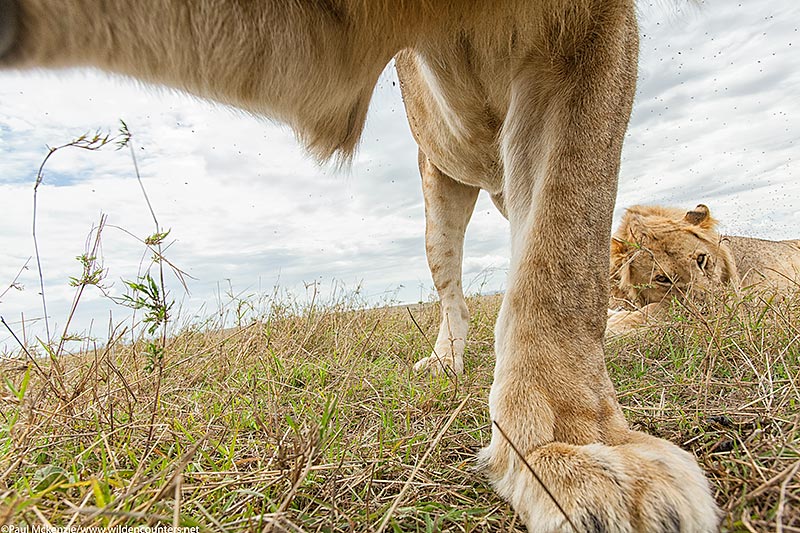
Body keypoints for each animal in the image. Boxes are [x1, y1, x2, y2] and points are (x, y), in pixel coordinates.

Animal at [0, 0, 720, 528]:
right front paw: (572, 454)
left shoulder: (586, 35)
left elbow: (564, 245)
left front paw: (574, 447)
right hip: (438, 195)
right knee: (452, 288)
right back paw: (445, 359)